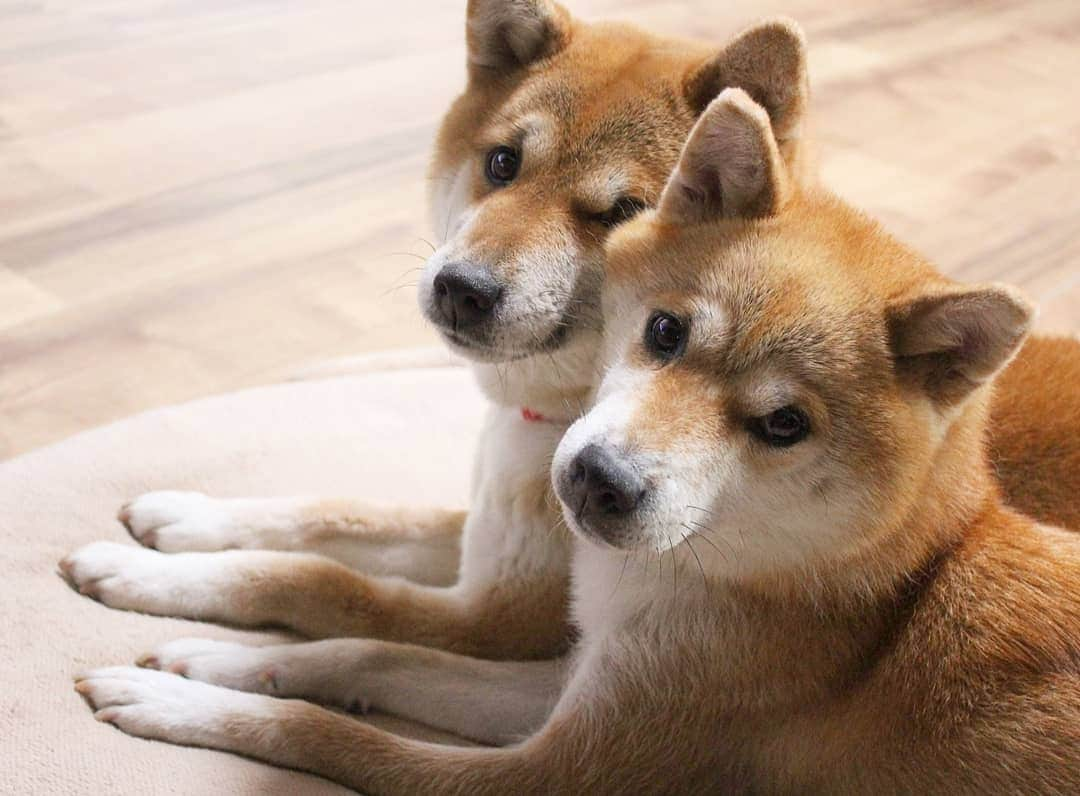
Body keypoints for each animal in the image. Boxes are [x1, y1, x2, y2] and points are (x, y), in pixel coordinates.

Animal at [76, 90, 1080, 790]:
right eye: (666, 332)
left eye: (784, 425)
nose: (598, 480)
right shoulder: (568, 666)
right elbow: (358, 617)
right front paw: (207, 626)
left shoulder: (556, 754)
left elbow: (334, 690)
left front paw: (178, 697)